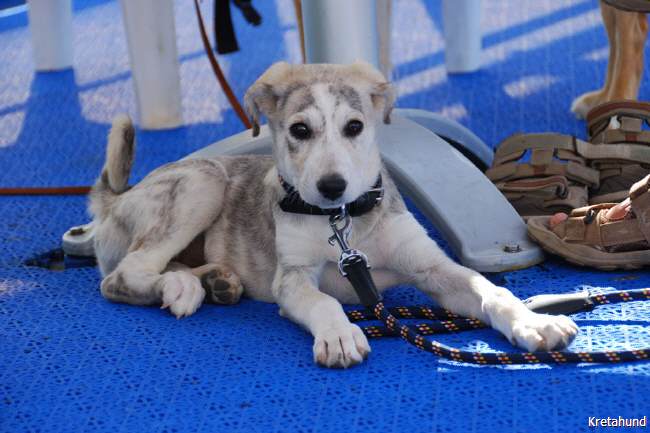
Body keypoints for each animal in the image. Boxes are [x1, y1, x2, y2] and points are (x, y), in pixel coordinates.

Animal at [90, 62, 578, 368]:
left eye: (355, 127)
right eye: (300, 130)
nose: (331, 187)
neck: (343, 223)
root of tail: (115, 197)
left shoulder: (433, 267)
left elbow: (492, 291)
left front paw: (534, 323)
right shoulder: (292, 278)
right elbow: (323, 301)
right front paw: (340, 336)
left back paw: (215, 281)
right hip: (202, 182)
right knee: (122, 276)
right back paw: (182, 287)